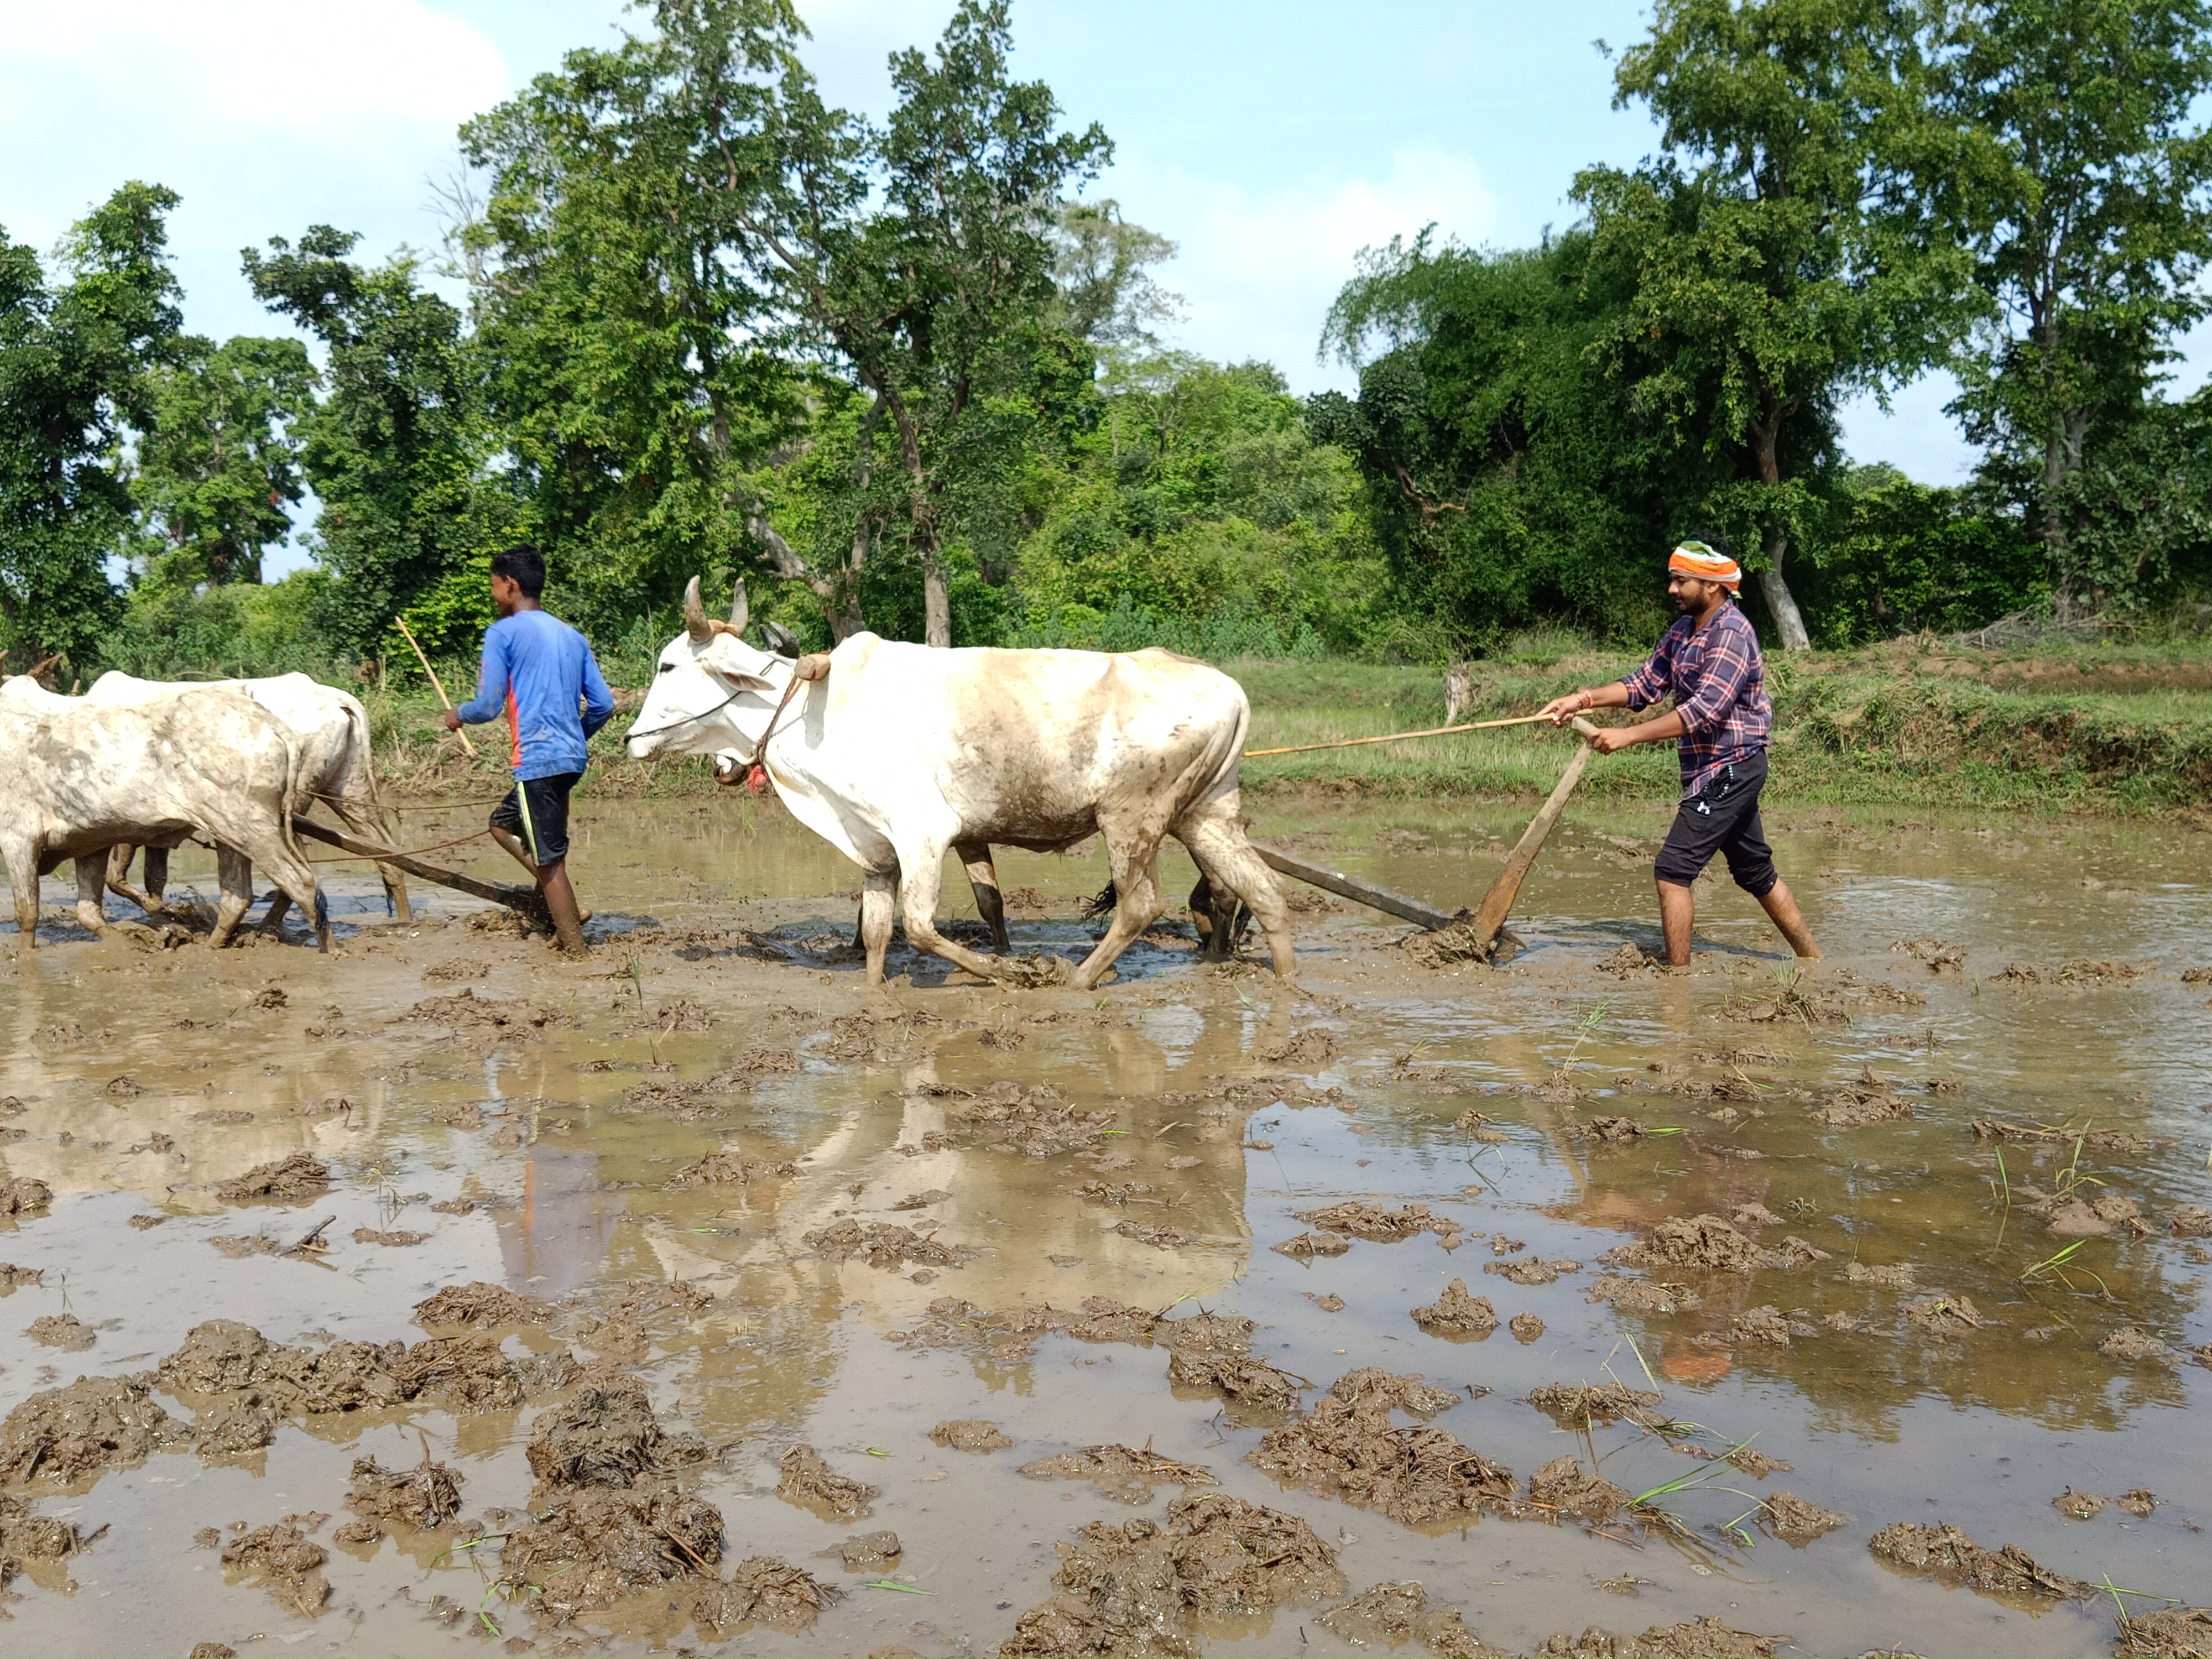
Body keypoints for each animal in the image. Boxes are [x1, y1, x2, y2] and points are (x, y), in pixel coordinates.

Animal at [0, 677, 327, 956]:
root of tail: (272, 724)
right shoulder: (90, 843)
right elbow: (88, 913)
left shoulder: (18, 839)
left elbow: (28, 915)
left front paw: (26, 959)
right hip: (232, 832)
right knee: (239, 896)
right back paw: (211, 946)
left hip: (251, 828)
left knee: (303, 884)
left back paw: (329, 950)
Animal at [82, 672, 411, 929]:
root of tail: (335, 698)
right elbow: (154, 880)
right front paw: (163, 917)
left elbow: (117, 880)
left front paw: (169, 913)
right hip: (349, 788)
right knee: (386, 850)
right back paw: (404, 918)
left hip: (286, 805)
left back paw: (270, 925)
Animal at [628, 580, 1292, 987]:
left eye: (668, 665)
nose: (632, 738)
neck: (812, 707)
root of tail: (1227, 687)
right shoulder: (875, 846)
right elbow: (877, 934)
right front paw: (874, 994)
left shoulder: (923, 834)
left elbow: (921, 928)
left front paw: (1010, 973)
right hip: (1205, 815)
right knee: (1262, 893)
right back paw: (1284, 980)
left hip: (1133, 817)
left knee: (1141, 905)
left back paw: (1076, 979)